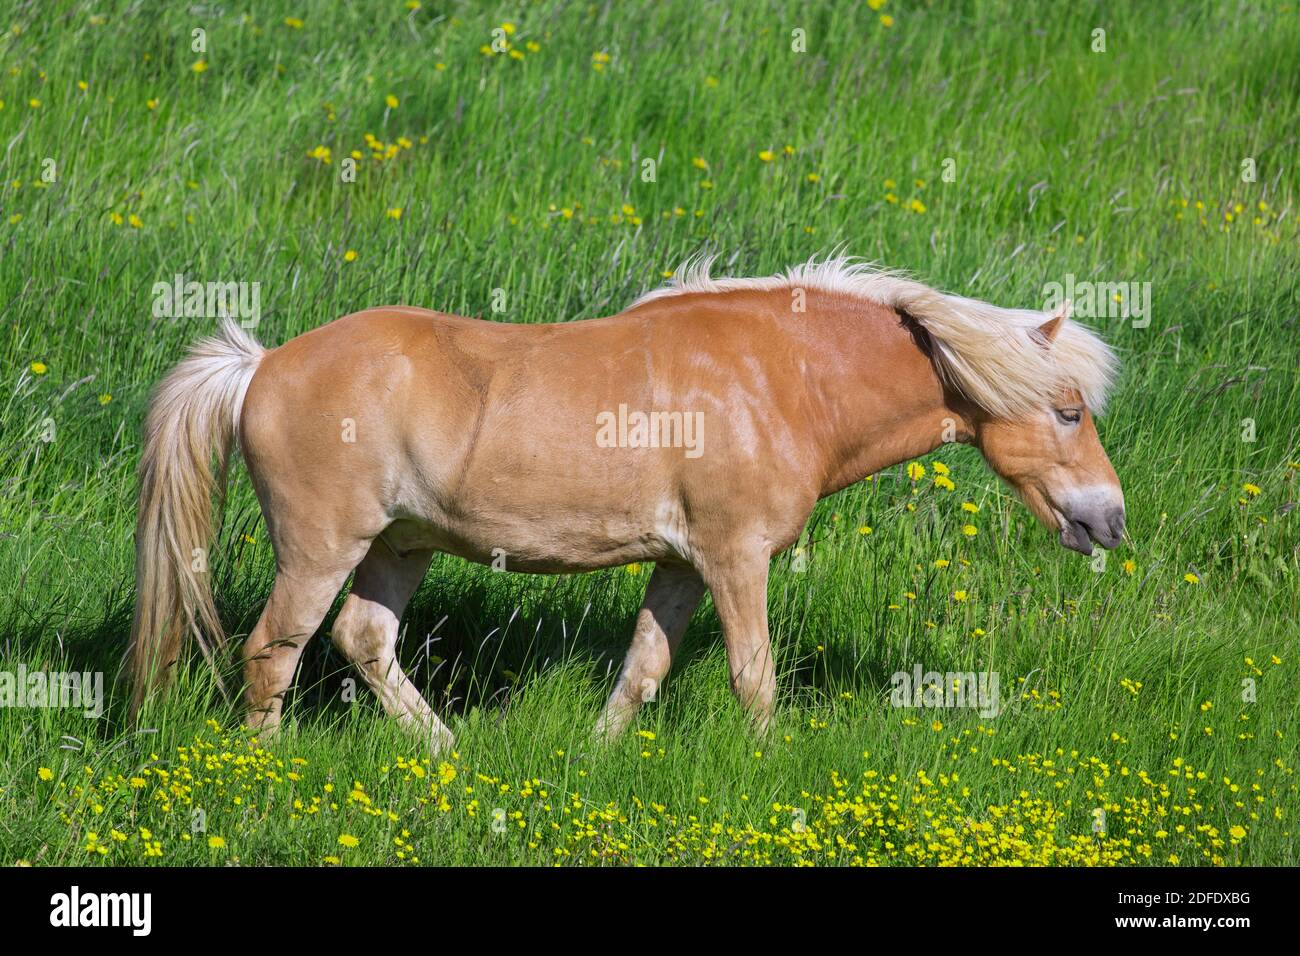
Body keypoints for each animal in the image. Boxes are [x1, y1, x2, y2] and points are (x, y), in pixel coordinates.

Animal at [127, 255, 1123, 750]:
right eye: (1068, 410)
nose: (1109, 519)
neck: (782, 379)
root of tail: (260, 366)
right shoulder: (734, 556)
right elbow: (754, 676)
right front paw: (769, 768)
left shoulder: (680, 565)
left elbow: (643, 670)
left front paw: (599, 758)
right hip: (321, 548)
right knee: (272, 652)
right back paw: (268, 768)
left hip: (399, 546)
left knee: (363, 641)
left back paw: (447, 751)